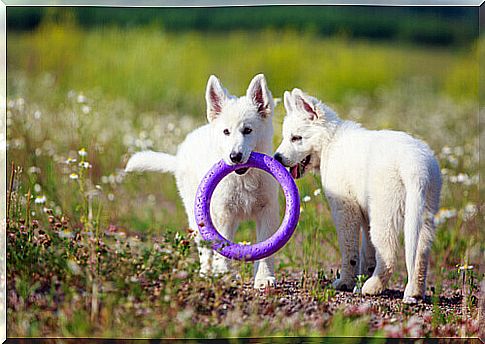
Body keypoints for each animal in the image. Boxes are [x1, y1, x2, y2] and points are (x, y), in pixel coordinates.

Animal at [125, 74, 280, 288]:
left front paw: (264, 278)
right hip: (196, 214)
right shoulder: (223, 213)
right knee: (204, 248)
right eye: (226, 132)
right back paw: (207, 273)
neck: (244, 179)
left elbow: (266, 249)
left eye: (248, 130)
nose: (235, 156)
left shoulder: (268, 210)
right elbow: (222, 247)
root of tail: (179, 156)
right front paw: (222, 274)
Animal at [274, 88, 440, 304]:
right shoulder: (364, 214)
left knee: (388, 252)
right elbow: (367, 250)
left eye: (296, 138)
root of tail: (415, 165)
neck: (330, 142)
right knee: (420, 253)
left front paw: (346, 282)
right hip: (424, 212)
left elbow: (349, 250)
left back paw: (373, 287)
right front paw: (362, 276)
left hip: (384, 212)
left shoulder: (345, 209)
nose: (276, 157)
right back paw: (415, 291)